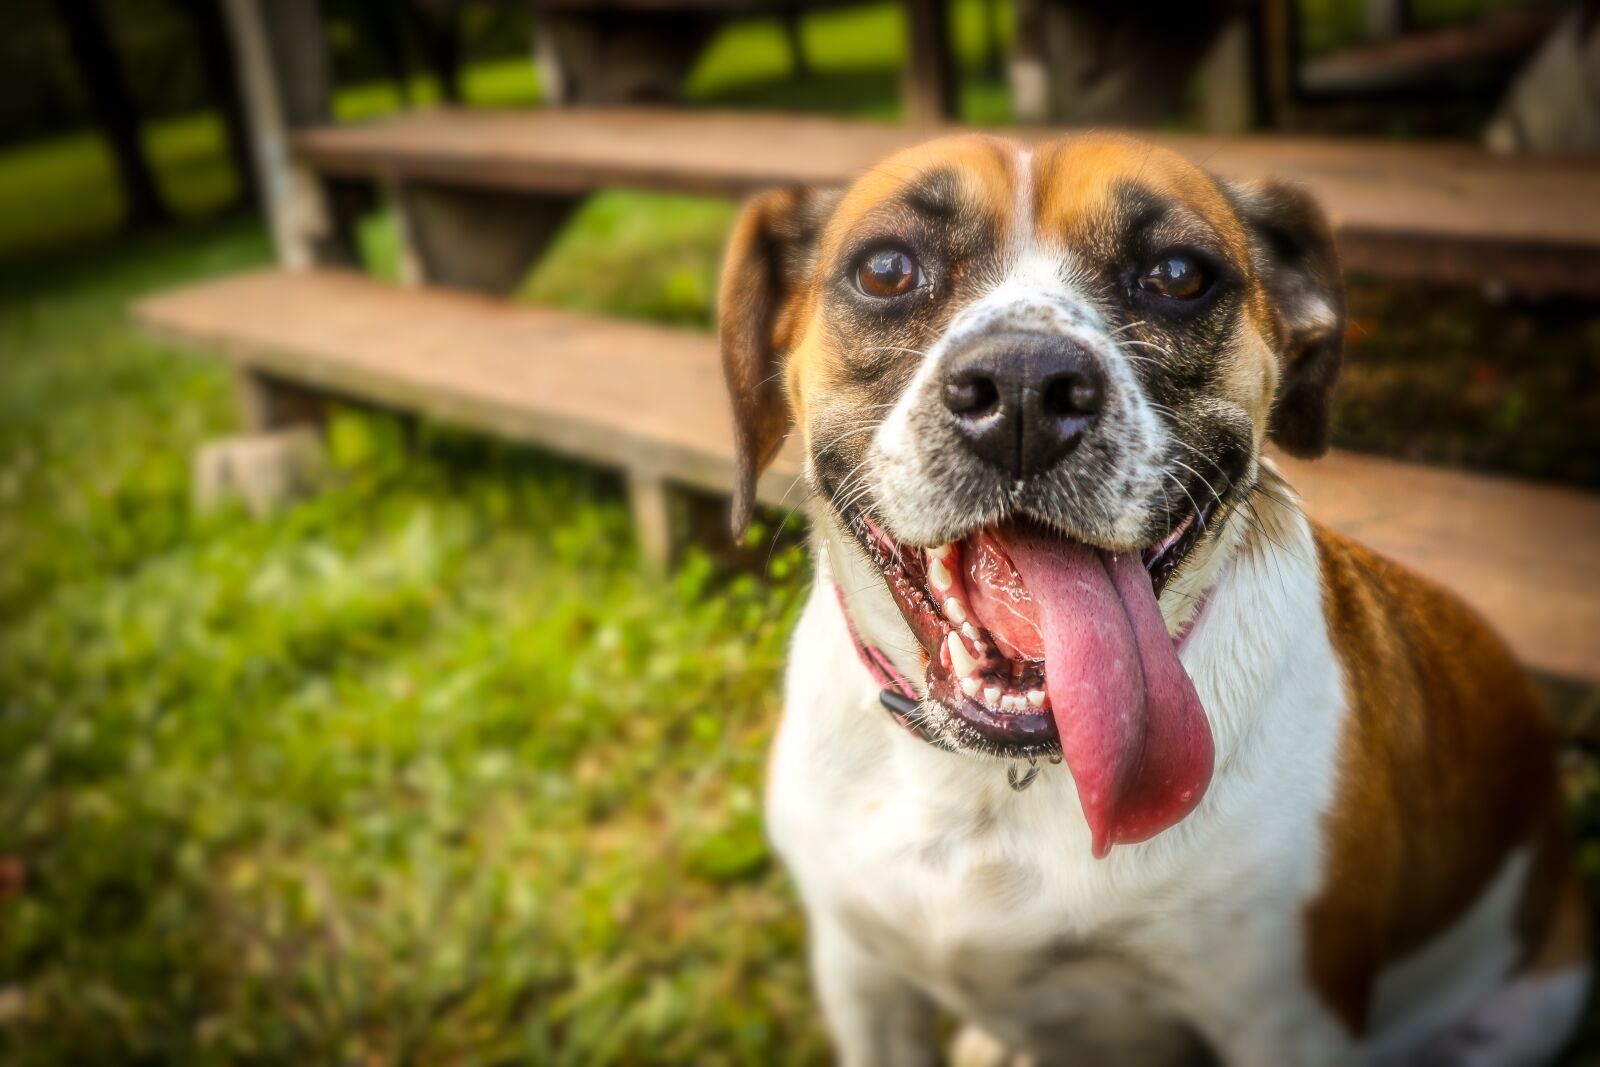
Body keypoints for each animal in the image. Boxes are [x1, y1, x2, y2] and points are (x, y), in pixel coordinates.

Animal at [723, 135, 1587, 1067]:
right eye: (886, 268)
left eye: (1178, 273)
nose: (1024, 386)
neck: (1002, 786)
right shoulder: (864, 976)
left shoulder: (1285, 1019)